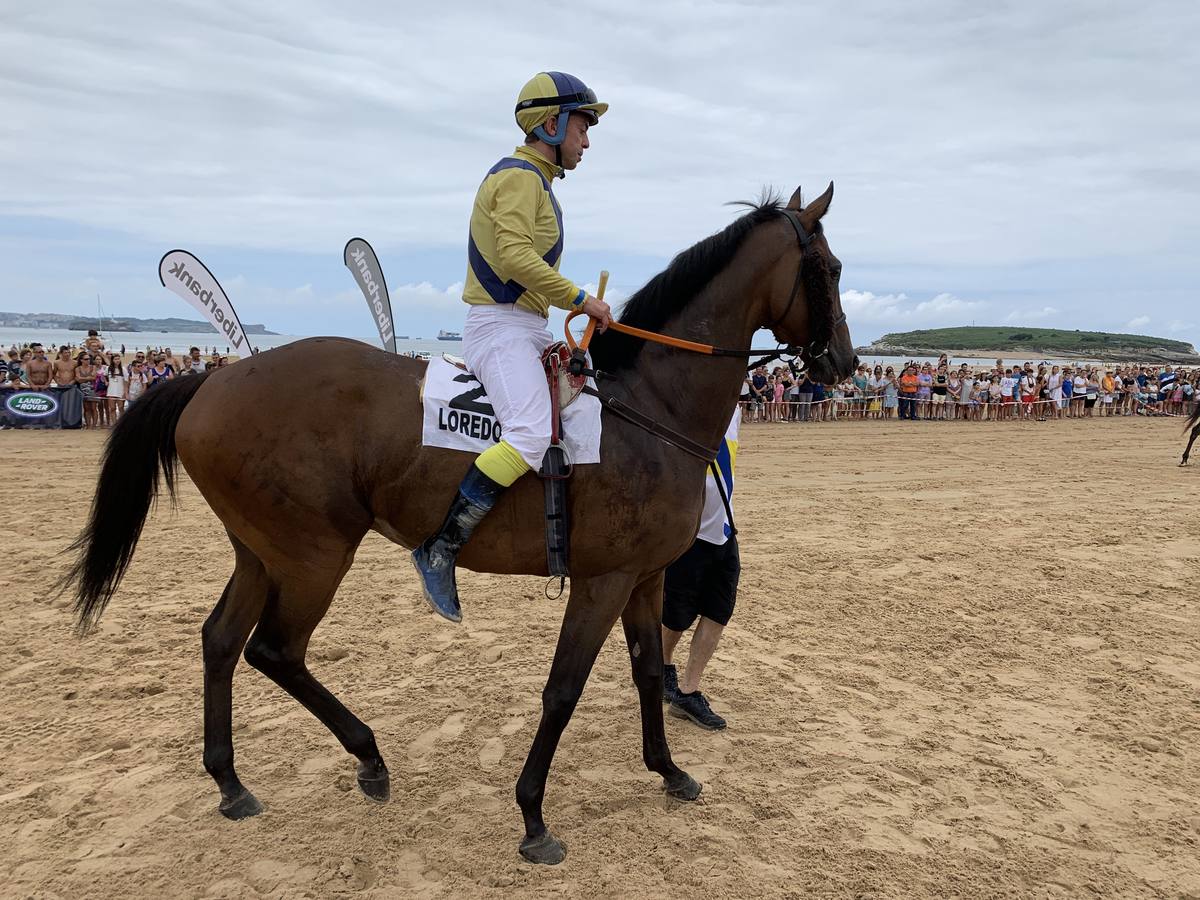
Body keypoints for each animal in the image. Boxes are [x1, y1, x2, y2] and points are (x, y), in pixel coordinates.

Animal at [63, 181, 854, 859]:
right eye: (833, 267)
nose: (844, 363)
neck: (648, 408)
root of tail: (213, 379)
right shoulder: (602, 580)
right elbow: (564, 688)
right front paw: (533, 815)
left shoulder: (645, 576)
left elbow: (648, 670)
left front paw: (669, 771)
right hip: (314, 555)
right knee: (275, 651)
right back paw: (369, 756)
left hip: (261, 553)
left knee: (222, 640)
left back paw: (232, 783)